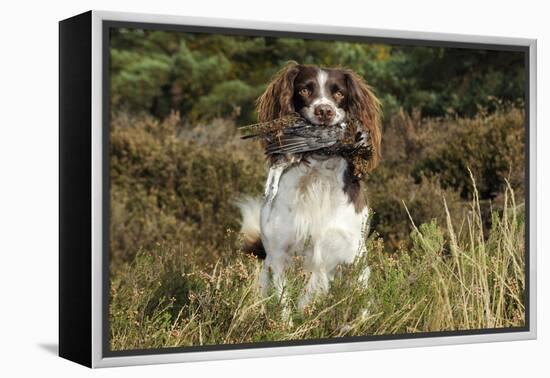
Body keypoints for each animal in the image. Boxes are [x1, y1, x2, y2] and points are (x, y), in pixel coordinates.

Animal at [237, 62, 384, 310]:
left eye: (339, 93)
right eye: (304, 90)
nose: (324, 111)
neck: (317, 176)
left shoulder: (353, 255)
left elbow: (359, 308)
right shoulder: (279, 255)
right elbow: (284, 308)